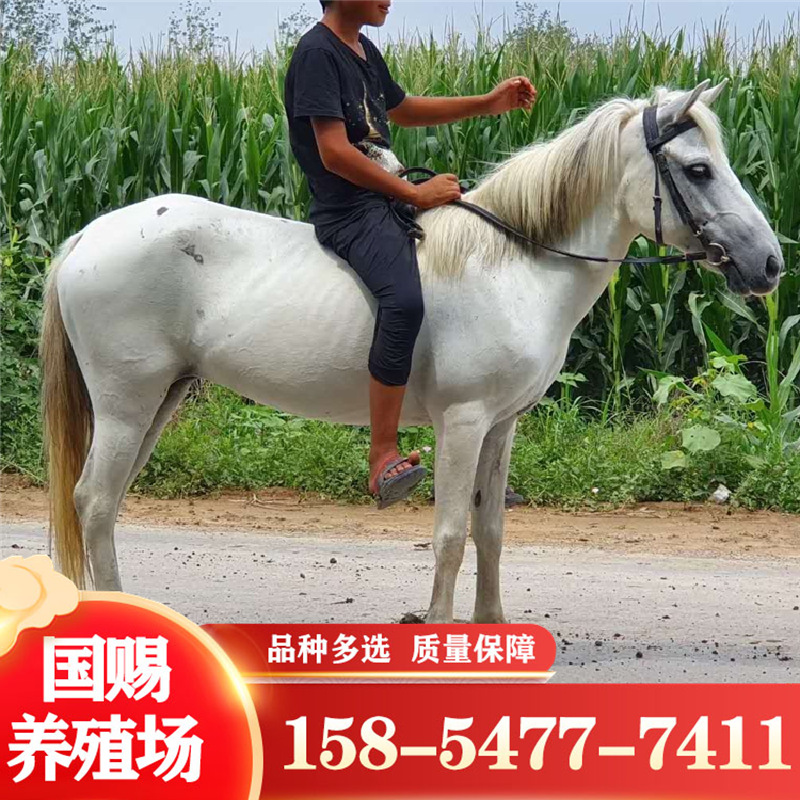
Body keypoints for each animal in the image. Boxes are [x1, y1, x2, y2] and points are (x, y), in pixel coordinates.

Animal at [40, 81, 783, 623]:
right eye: (698, 169)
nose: (770, 264)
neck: (516, 262)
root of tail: (85, 238)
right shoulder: (463, 421)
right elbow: (451, 533)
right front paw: (442, 630)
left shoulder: (501, 426)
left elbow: (490, 530)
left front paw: (490, 629)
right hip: (127, 404)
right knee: (95, 502)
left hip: (157, 401)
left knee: (105, 503)